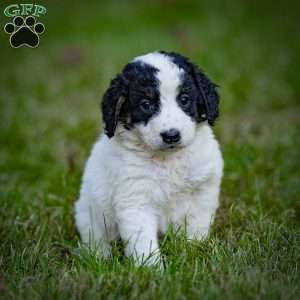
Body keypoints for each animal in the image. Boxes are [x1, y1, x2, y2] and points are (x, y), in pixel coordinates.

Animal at [74, 51, 223, 268]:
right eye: (146, 105)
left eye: (184, 99)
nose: (171, 135)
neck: (168, 160)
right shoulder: (136, 201)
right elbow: (143, 242)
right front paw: (152, 271)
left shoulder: (202, 191)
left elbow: (197, 227)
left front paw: (195, 252)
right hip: (89, 216)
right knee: (96, 240)